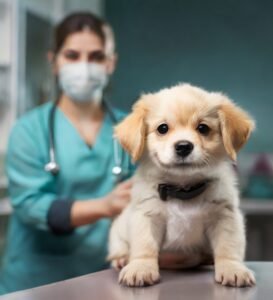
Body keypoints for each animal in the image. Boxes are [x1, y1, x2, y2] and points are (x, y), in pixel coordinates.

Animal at [108, 84, 255, 288]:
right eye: (162, 128)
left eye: (203, 128)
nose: (183, 146)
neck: (183, 189)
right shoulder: (146, 216)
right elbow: (144, 246)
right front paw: (141, 268)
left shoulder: (225, 216)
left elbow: (228, 247)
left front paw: (232, 269)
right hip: (117, 232)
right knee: (120, 248)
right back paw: (121, 259)